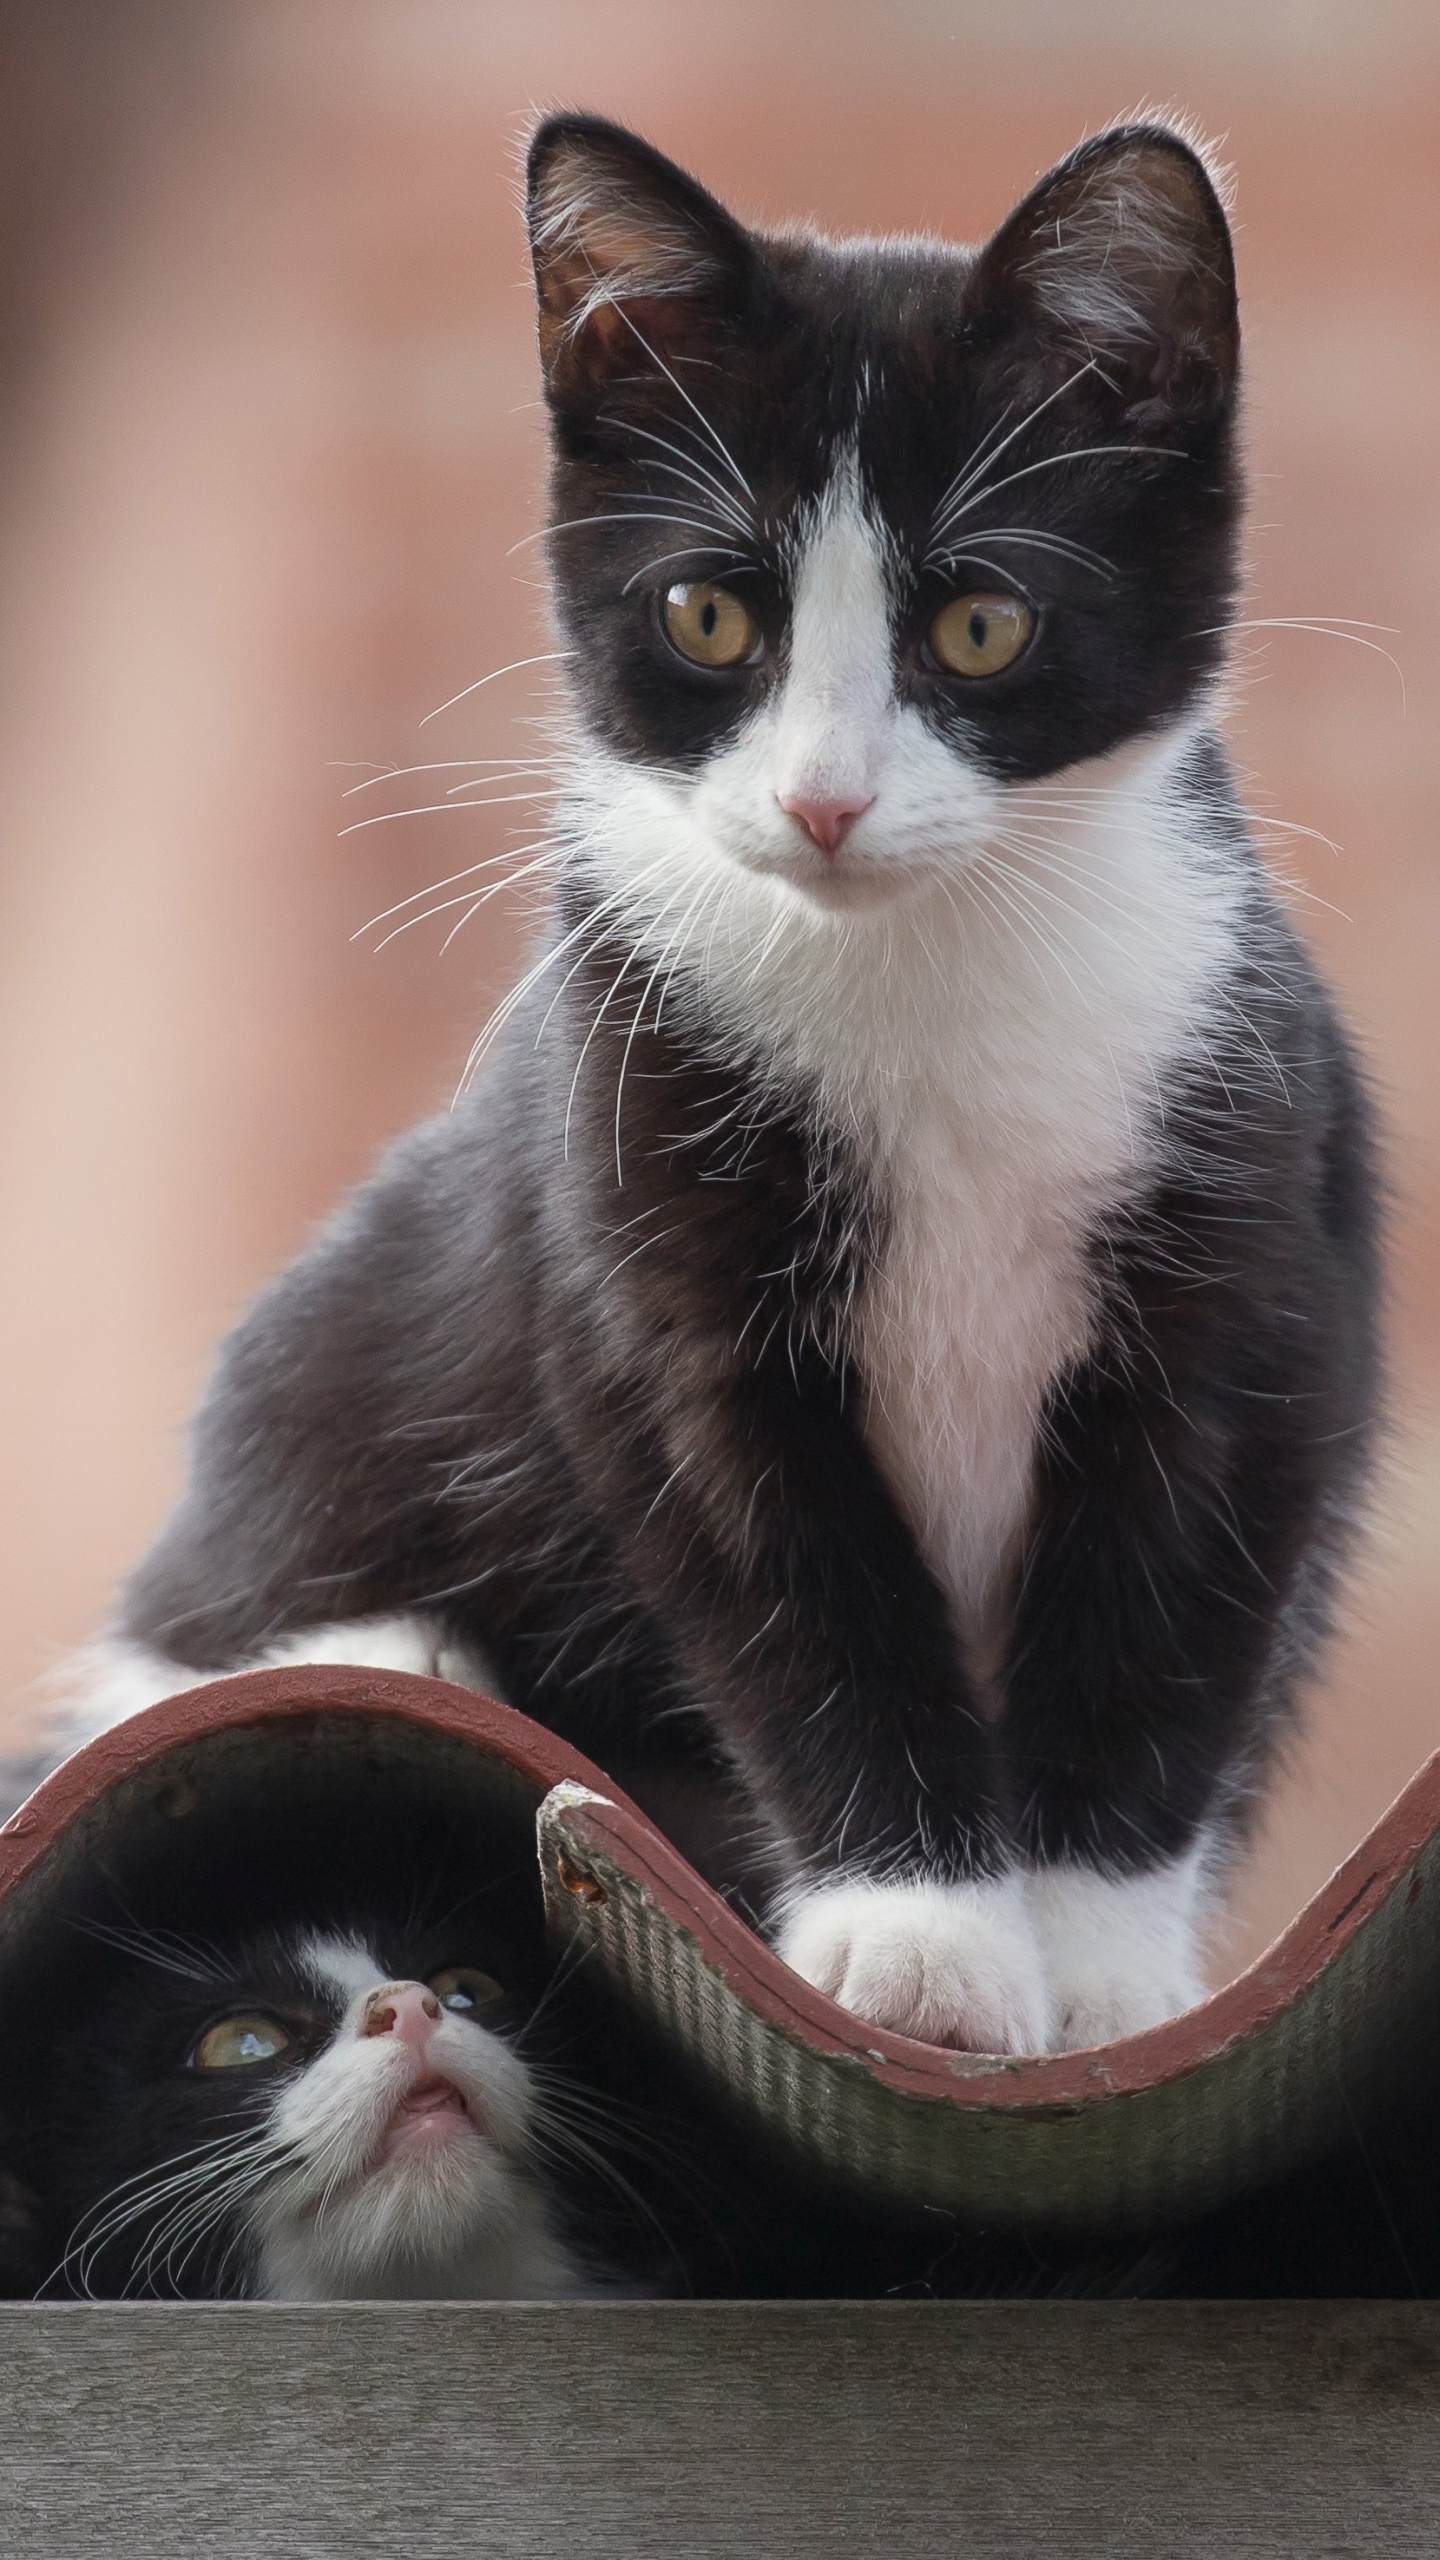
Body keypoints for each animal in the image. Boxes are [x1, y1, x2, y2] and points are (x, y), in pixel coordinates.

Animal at [58, 115, 1383, 2058]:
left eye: (979, 626)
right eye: (704, 614)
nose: (824, 803)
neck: (919, 977)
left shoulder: (1258, 1235)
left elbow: (1170, 1611)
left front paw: (1097, 1964)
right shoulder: (651, 1251)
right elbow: (794, 1597)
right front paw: (922, 1935)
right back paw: (381, 1651)